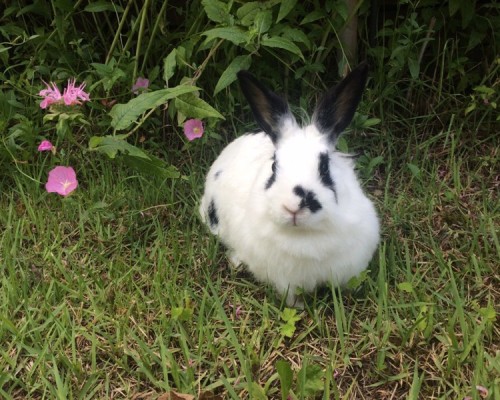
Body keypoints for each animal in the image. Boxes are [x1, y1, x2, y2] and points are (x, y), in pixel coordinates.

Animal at [199, 61, 378, 306]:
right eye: (274, 166)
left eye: (325, 167)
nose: (293, 207)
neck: (305, 236)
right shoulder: (285, 281)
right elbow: (292, 299)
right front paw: (300, 308)